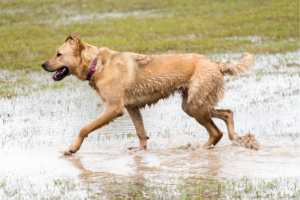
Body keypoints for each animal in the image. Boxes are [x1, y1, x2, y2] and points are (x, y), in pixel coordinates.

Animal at [41, 34, 260, 155]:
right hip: (192, 105)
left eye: (58, 54)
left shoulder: (113, 108)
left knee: (216, 132)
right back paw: (237, 139)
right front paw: (140, 151)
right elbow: (141, 133)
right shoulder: (132, 108)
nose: (42, 64)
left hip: (196, 106)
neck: (97, 64)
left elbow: (84, 128)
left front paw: (72, 148)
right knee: (227, 114)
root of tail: (214, 63)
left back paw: (198, 149)